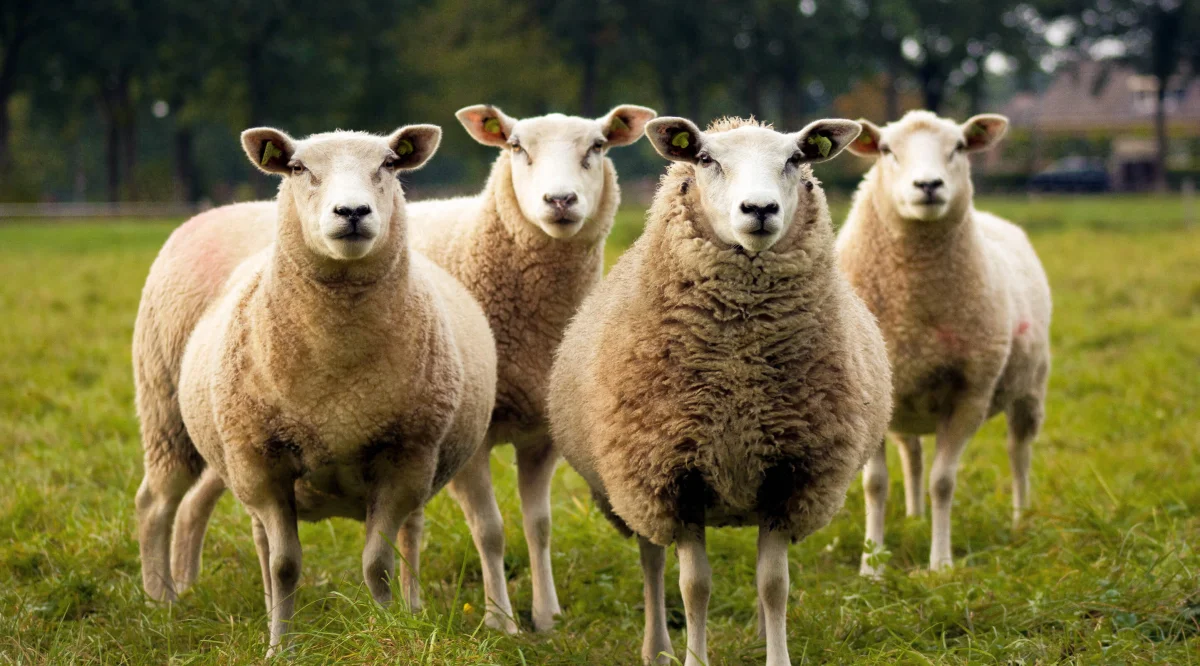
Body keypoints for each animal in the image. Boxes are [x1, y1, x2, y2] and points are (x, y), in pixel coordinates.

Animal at [136, 124, 499, 654]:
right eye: (298, 167)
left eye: (389, 164)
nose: (352, 212)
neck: (337, 376)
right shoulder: (262, 462)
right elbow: (285, 565)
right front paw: (279, 648)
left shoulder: (405, 459)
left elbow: (378, 563)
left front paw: (388, 631)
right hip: (167, 415)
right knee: (157, 504)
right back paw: (160, 602)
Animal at [403, 103, 658, 632]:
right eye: (517, 147)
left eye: (598, 146)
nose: (560, 200)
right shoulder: (473, 437)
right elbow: (490, 530)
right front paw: (500, 621)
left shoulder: (543, 434)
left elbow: (538, 526)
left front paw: (546, 616)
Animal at [548, 116, 892, 666]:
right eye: (706, 160)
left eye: (797, 159)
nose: (760, 210)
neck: (739, 373)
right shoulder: (673, 476)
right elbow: (694, 587)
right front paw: (693, 657)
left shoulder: (788, 475)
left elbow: (774, 584)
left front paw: (777, 656)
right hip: (635, 490)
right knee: (651, 562)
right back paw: (657, 648)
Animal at [836, 110, 1052, 575]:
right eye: (886, 150)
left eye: (959, 147)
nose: (928, 186)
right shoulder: (869, 398)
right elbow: (876, 484)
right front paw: (871, 566)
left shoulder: (971, 395)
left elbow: (943, 482)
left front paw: (940, 564)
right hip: (904, 403)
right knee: (913, 454)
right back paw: (914, 517)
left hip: (1030, 388)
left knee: (1019, 452)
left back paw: (1021, 518)